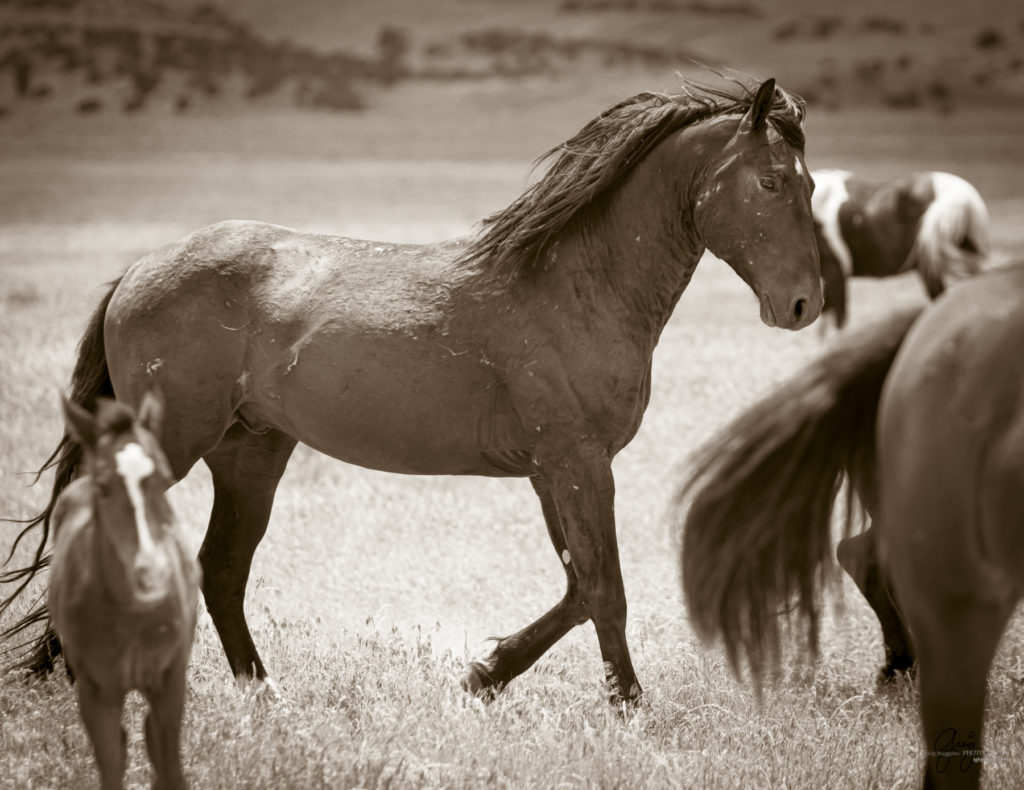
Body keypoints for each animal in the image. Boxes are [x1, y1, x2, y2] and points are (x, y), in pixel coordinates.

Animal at [0, 75, 819, 704]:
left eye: (812, 184)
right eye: (772, 182)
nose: (805, 304)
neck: (577, 285)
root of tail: (137, 271)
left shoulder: (554, 472)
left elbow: (579, 588)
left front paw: (486, 675)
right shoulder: (579, 464)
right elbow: (603, 588)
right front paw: (627, 705)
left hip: (250, 455)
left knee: (221, 569)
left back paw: (261, 692)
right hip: (172, 443)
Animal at [48, 395, 199, 790]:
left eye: (164, 478)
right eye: (103, 486)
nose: (152, 571)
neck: (132, 612)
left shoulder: (169, 680)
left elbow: (168, 763)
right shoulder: (96, 691)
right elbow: (113, 761)